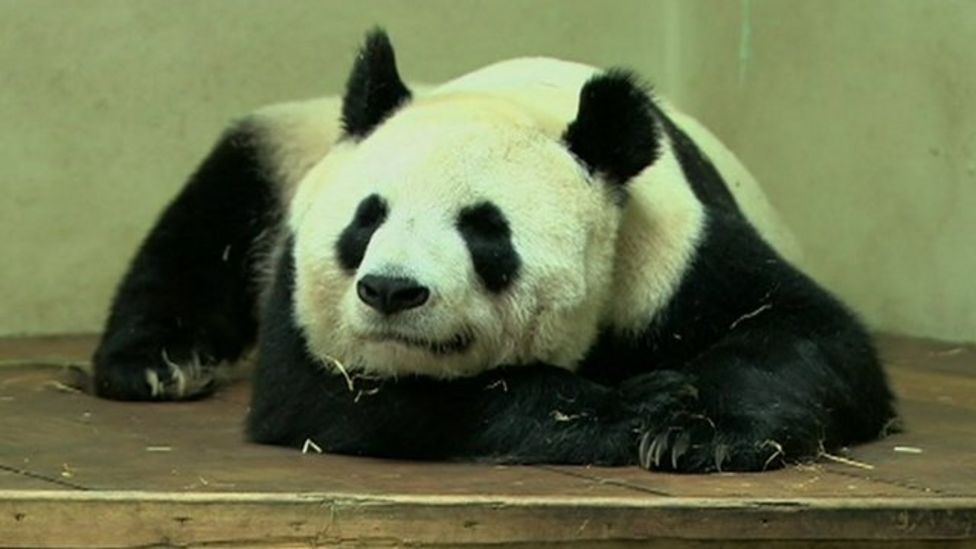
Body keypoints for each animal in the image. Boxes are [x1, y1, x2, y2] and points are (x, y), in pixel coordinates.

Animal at [91, 28, 892, 470]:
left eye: (486, 231)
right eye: (365, 220)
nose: (391, 290)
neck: (514, 99)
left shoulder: (674, 247)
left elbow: (805, 331)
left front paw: (702, 432)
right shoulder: (304, 290)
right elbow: (341, 394)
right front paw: (638, 404)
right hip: (286, 144)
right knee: (206, 224)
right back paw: (156, 364)